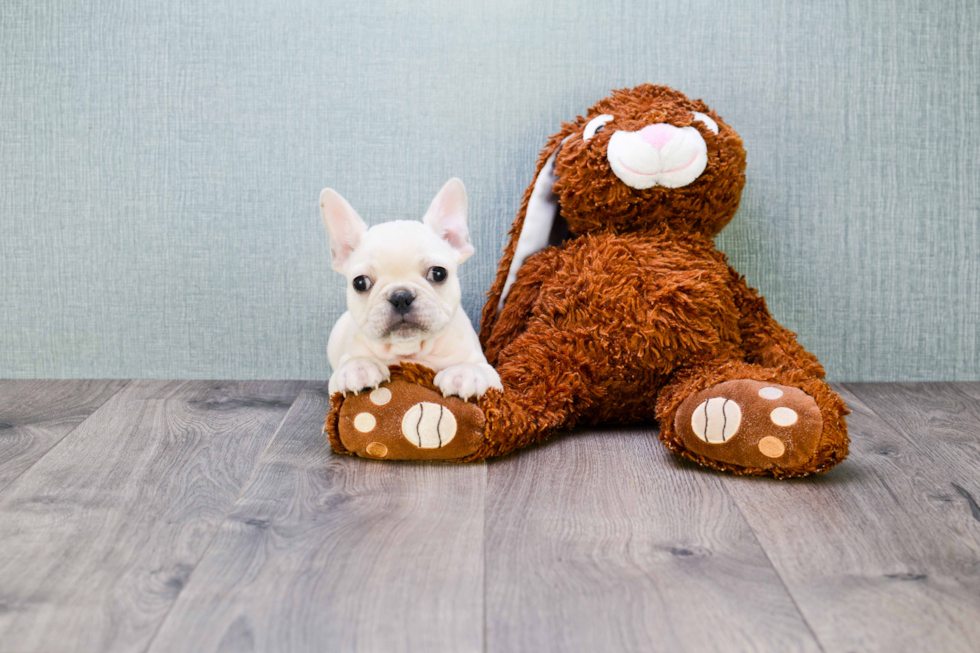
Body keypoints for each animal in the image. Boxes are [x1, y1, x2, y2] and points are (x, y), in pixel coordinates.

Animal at [322, 180, 502, 402]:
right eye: (360, 283)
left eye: (438, 273)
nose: (401, 296)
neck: (411, 351)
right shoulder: (336, 379)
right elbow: (351, 363)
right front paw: (359, 366)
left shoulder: (490, 373)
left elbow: (476, 367)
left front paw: (463, 373)